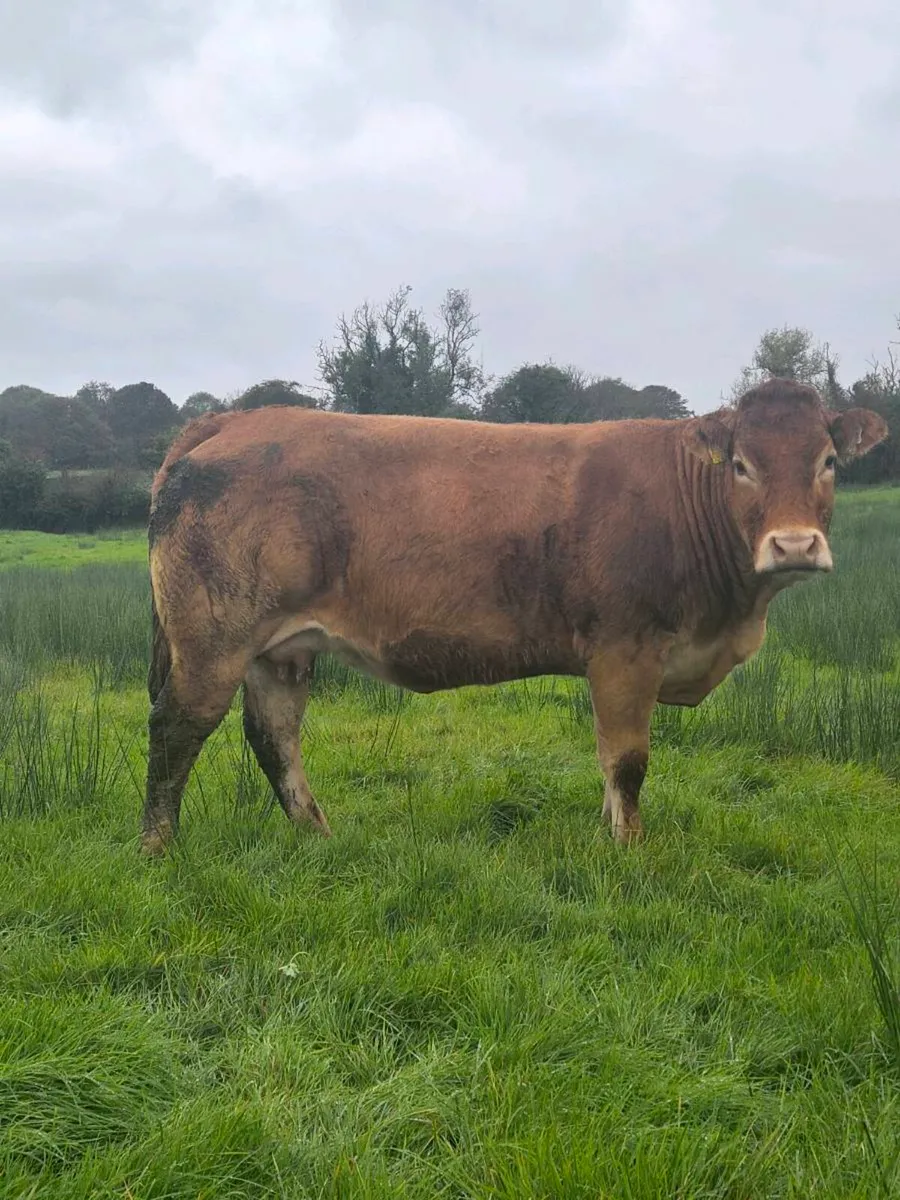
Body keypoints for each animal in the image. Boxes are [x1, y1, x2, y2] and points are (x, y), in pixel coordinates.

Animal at [141, 379, 887, 855]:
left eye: (827, 461)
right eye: (740, 465)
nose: (794, 545)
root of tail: (239, 419)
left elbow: (608, 761)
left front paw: (609, 834)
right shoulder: (626, 648)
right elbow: (627, 760)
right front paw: (631, 851)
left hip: (283, 650)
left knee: (274, 738)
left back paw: (318, 837)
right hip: (212, 639)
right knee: (177, 727)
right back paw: (158, 848)